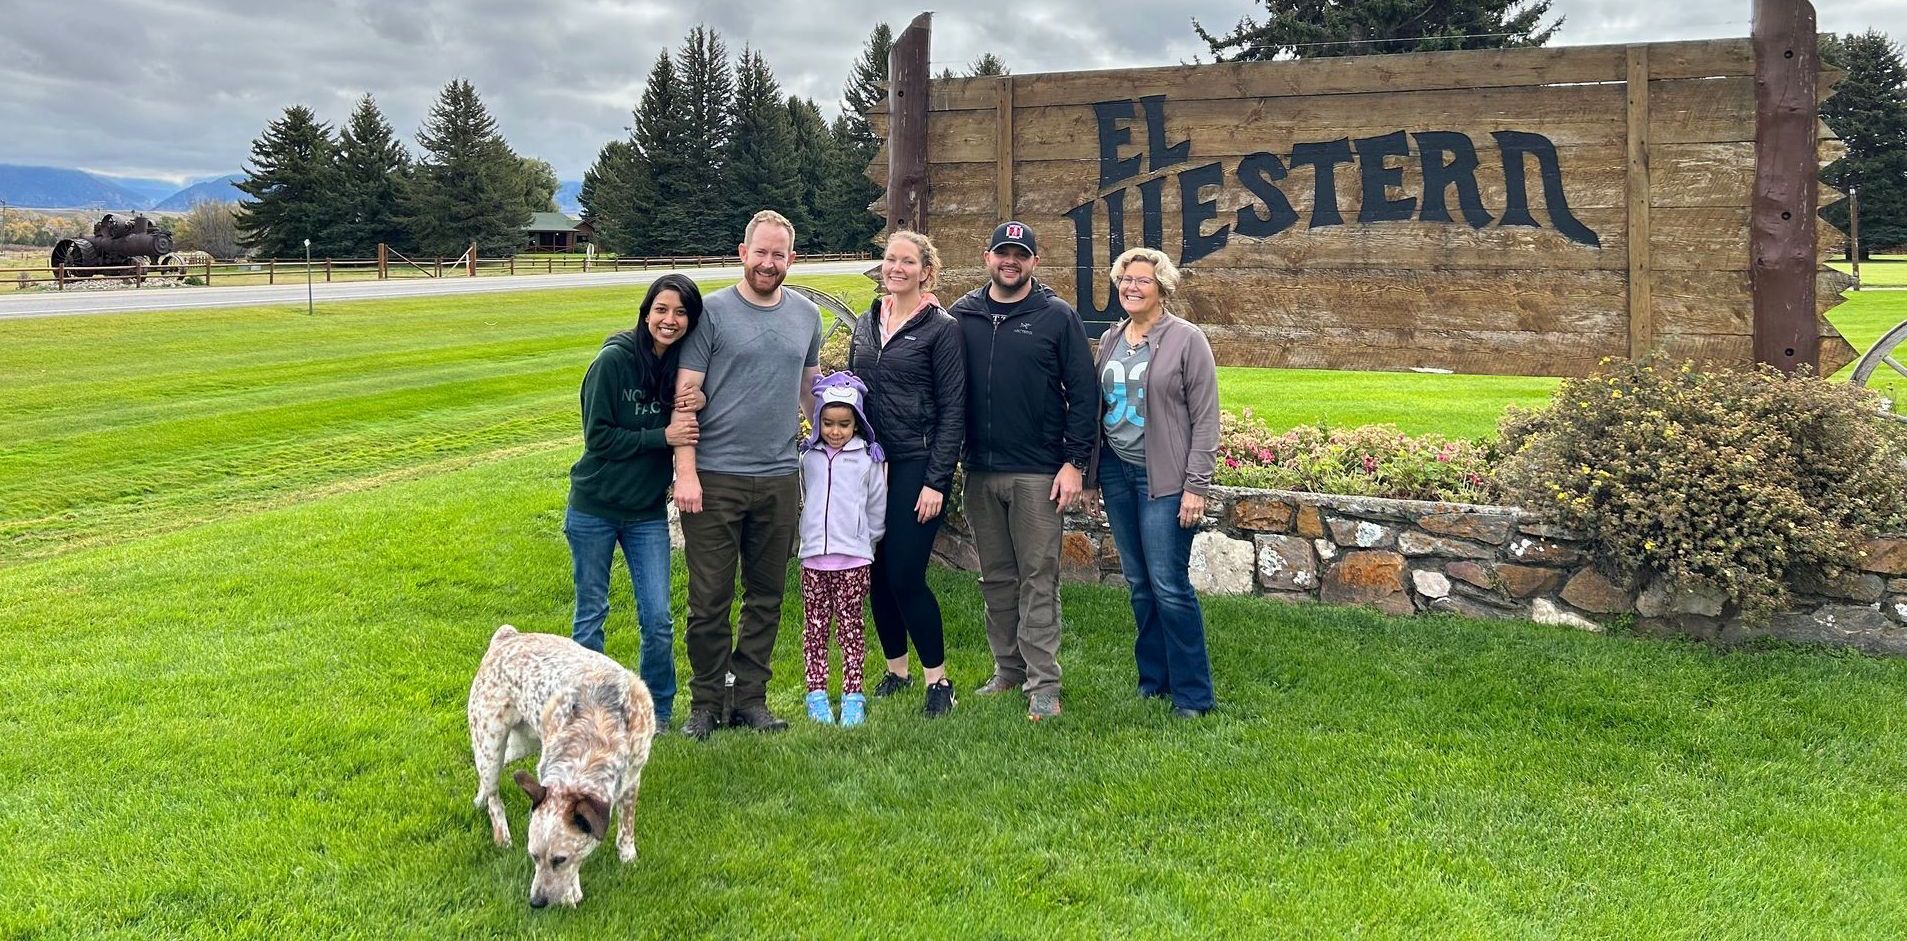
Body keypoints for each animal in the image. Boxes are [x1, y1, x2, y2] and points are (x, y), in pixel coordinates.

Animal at [469, 622, 656, 900]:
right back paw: (502, 836)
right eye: (533, 856)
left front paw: (628, 857)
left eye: (560, 859)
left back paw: (479, 799)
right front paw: (572, 893)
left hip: (522, 744)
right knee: (494, 797)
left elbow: (626, 825)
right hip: (490, 742)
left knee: (493, 771)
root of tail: (506, 637)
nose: (536, 901)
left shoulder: (632, 777)